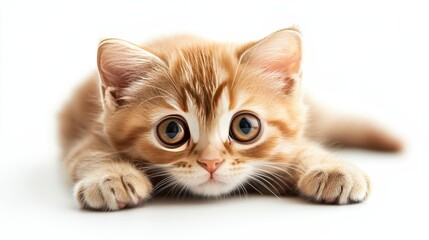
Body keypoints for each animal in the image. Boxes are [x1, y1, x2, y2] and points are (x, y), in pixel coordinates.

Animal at [59, 28, 402, 210]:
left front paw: (331, 168)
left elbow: (300, 146)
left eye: (245, 127)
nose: (211, 163)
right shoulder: (87, 136)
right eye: (171, 130)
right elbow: (89, 155)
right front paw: (111, 177)